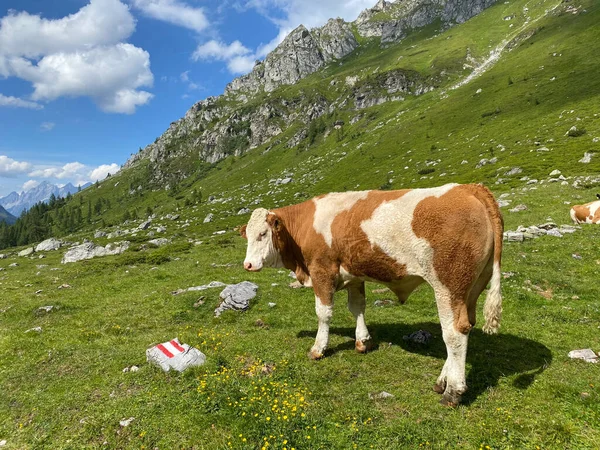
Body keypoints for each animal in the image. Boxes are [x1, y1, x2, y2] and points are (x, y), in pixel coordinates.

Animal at [241, 181, 504, 406]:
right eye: (247, 236)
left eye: (262, 234)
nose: (248, 265)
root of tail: (469, 188)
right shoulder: (354, 275)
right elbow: (357, 307)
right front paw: (362, 341)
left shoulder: (322, 271)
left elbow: (323, 313)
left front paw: (318, 349)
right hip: (472, 287)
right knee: (466, 326)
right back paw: (442, 382)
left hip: (448, 285)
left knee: (454, 333)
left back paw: (453, 391)